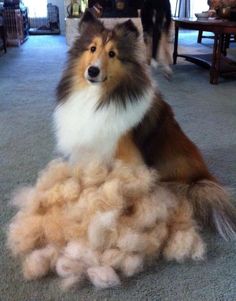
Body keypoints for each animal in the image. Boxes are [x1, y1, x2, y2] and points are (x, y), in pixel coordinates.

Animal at [53, 10, 236, 239]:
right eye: (92, 48)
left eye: (112, 54)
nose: (93, 71)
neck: (98, 97)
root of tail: (202, 179)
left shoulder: (124, 156)